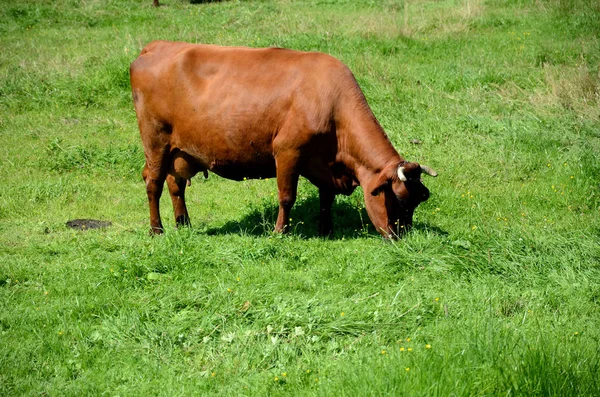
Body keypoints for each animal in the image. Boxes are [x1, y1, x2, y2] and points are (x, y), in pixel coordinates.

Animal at [130, 41, 436, 237]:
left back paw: (183, 223)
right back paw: (156, 229)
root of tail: (157, 45)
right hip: (155, 141)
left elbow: (326, 197)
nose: (405, 237)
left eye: (421, 198)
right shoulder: (288, 151)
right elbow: (287, 196)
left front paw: (326, 230)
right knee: (153, 182)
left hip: (179, 151)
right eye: (399, 200)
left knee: (175, 184)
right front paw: (280, 232)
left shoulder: (323, 163)